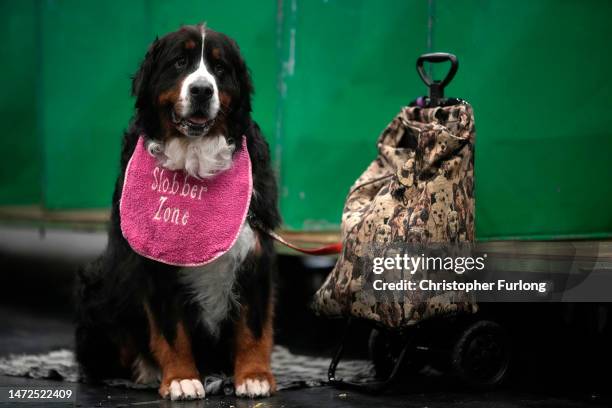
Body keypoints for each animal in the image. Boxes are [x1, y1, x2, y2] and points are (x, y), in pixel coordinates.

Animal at [74, 23, 282, 400]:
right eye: (180, 62)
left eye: (219, 68)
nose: (202, 89)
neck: (195, 161)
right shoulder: (155, 262)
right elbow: (172, 332)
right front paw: (181, 378)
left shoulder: (255, 253)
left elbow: (254, 328)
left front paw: (254, 376)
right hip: (97, 284)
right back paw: (145, 370)